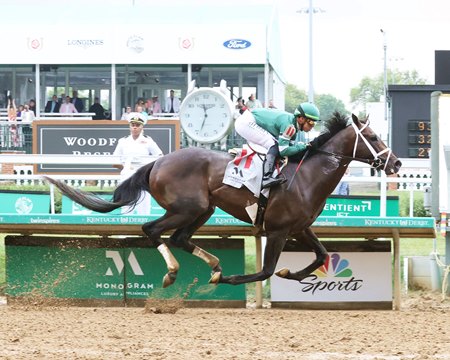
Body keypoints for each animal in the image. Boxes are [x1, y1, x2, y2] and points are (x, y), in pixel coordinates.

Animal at [44, 114, 400, 288]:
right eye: (372, 137)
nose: (395, 164)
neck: (307, 176)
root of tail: (157, 162)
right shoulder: (278, 230)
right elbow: (264, 271)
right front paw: (229, 279)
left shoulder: (300, 227)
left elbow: (322, 256)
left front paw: (291, 274)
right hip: (188, 207)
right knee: (153, 230)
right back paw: (175, 272)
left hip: (204, 208)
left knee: (179, 238)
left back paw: (213, 264)